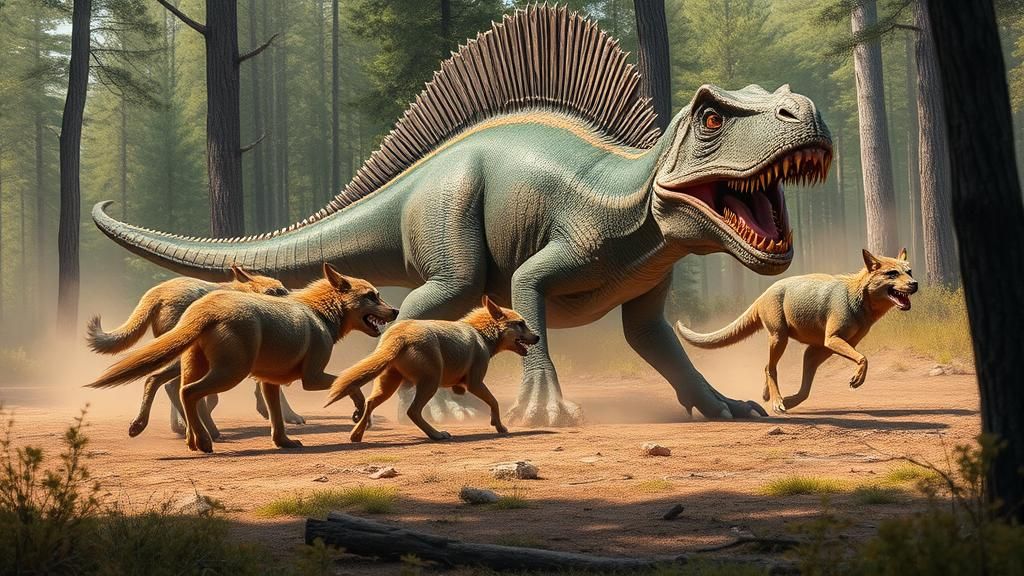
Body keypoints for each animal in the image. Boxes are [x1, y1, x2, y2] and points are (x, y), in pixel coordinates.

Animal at [324, 296, 540, 442]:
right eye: (521, 324)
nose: (537, 337)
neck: (481, 334)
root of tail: (399, 336)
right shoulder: (475, 383)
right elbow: (494, 401)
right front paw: (500, 426)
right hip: (430, 381)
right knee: (413, 411)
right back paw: (437, 434)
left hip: (388, 384)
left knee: (369, 403)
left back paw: (356, 435)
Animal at [675, 249, 918, 413]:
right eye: (892, 273)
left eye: (909, 271)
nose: (914, 283)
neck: (858, 299)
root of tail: (762, 295)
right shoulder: (832, 339)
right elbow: (864, 358)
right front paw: (857, 379)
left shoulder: (821, 348)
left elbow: (806, 389)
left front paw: (790, 400)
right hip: (779, 336)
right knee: (770, 367)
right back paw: (776, 401)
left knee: (768, 367)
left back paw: (770, 396)